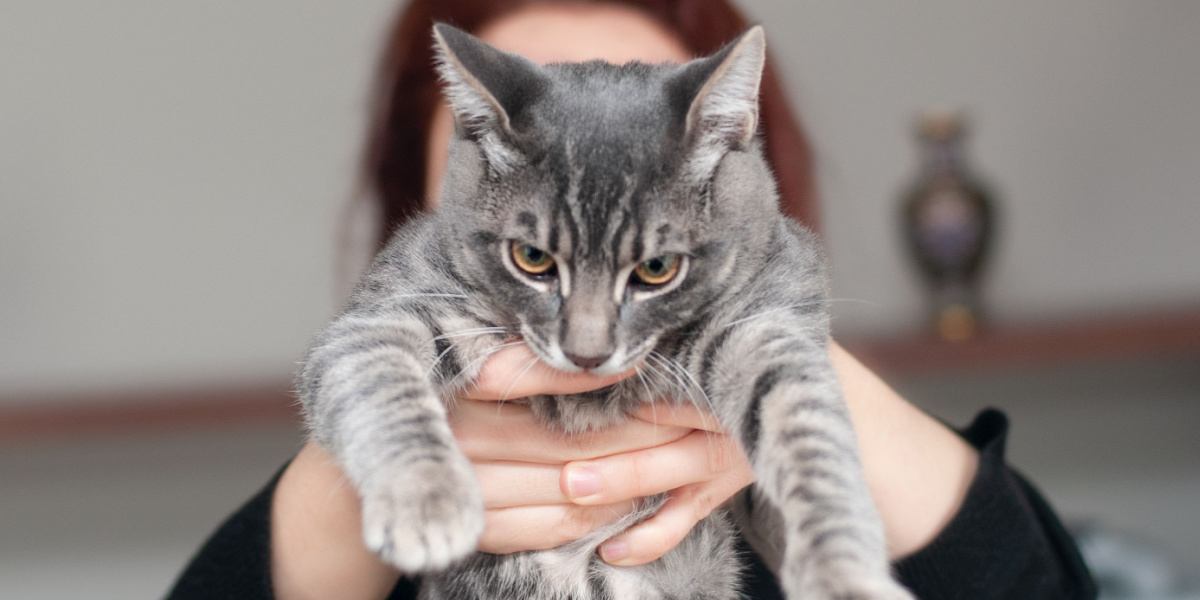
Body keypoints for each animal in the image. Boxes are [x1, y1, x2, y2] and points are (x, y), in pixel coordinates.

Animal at [297, 23, 907, 600]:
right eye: (532, 258)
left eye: (658, 267)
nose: (586, 353)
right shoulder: (386, 309)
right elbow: (382, 383)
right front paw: (427, 501)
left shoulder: (765, 320)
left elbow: (808, 436)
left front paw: (842, 572)